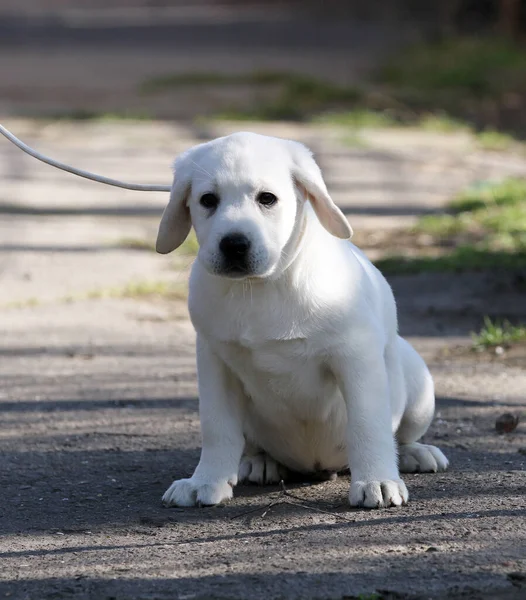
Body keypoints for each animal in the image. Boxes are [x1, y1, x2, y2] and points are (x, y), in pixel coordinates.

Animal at [157, 131, 450, 506]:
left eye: (267, 199)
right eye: (207, 200)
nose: (234, 244)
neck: (262, 287)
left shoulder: (356, 357)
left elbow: (368, 424)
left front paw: (377, 480)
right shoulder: (214, 363)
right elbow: (217, 427)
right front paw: (205, 481)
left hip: (417, 382)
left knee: (402, 433)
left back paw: (415, 453)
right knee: (249, 443)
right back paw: (259, 462)